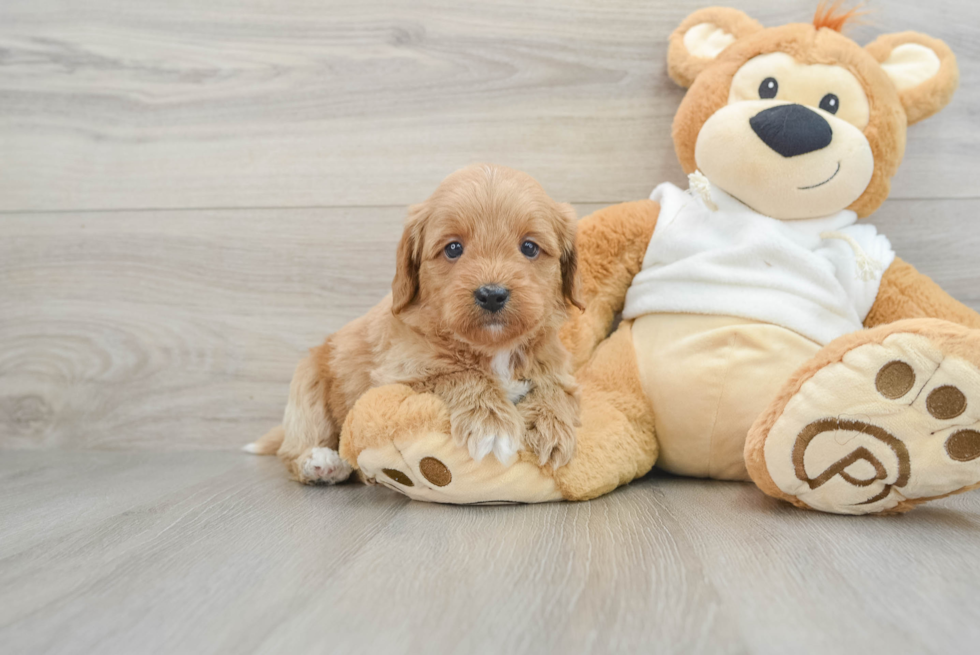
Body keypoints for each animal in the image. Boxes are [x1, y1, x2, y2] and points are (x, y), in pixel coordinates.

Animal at [247, 164, 580, 484]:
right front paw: (491, 424)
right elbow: (457, 373)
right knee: (294, 450)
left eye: (529, 247)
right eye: (453, 248)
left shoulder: (556, 364)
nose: (492, 295)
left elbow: (555, 387)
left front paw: (552, 428)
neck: (492, 348)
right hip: (308, 386)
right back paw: (323, 464)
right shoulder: (399, 372)